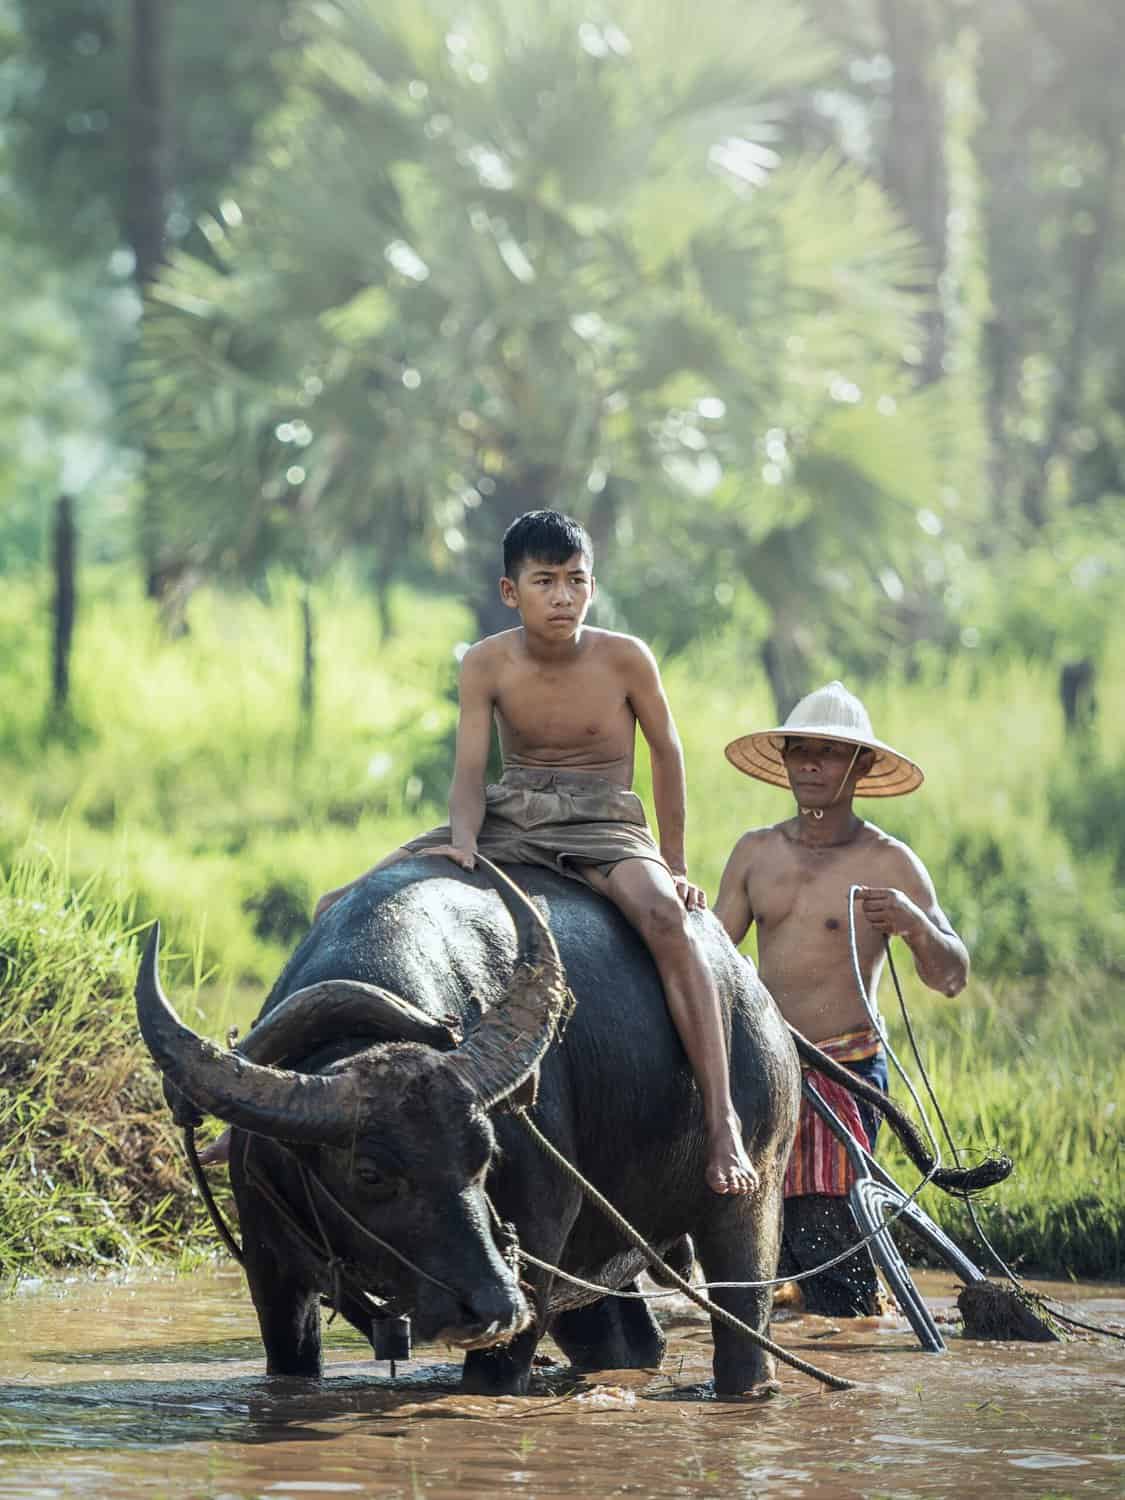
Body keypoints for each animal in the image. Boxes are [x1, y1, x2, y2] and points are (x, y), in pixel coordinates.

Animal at [138, 858, 804, 1392]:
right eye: (369, 1172)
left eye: (484, 1154)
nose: (492, 1306)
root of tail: (755, 993)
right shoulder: (271, 1272)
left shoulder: (535, 1250)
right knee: (627, 1340)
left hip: (752, 1195)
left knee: (744, 1327)